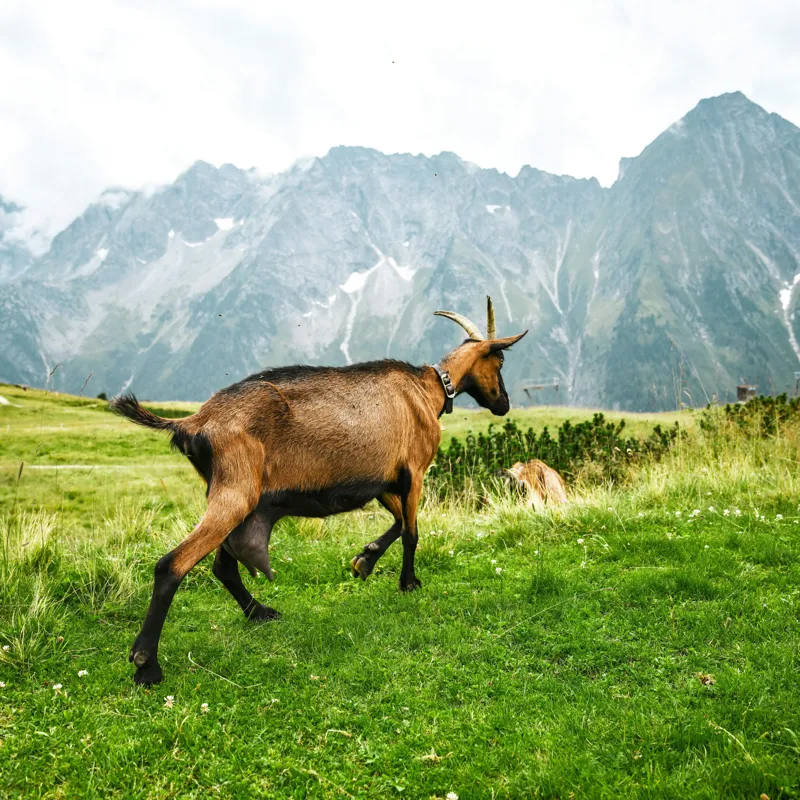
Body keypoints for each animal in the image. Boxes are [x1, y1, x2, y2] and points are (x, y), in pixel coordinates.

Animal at [111, 297, 527, 685]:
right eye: (500, 360)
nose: (504, 404)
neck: (428, 390)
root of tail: (194, 422)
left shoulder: (382, 480)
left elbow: (397, 523)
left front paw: (365, 559)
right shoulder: (414, 471)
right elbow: (412, 532)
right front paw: (408, 582)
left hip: (235, 496)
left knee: (222, 566)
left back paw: (260, 612)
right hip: (235, 492)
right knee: (172, 565)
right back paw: (147, 664)